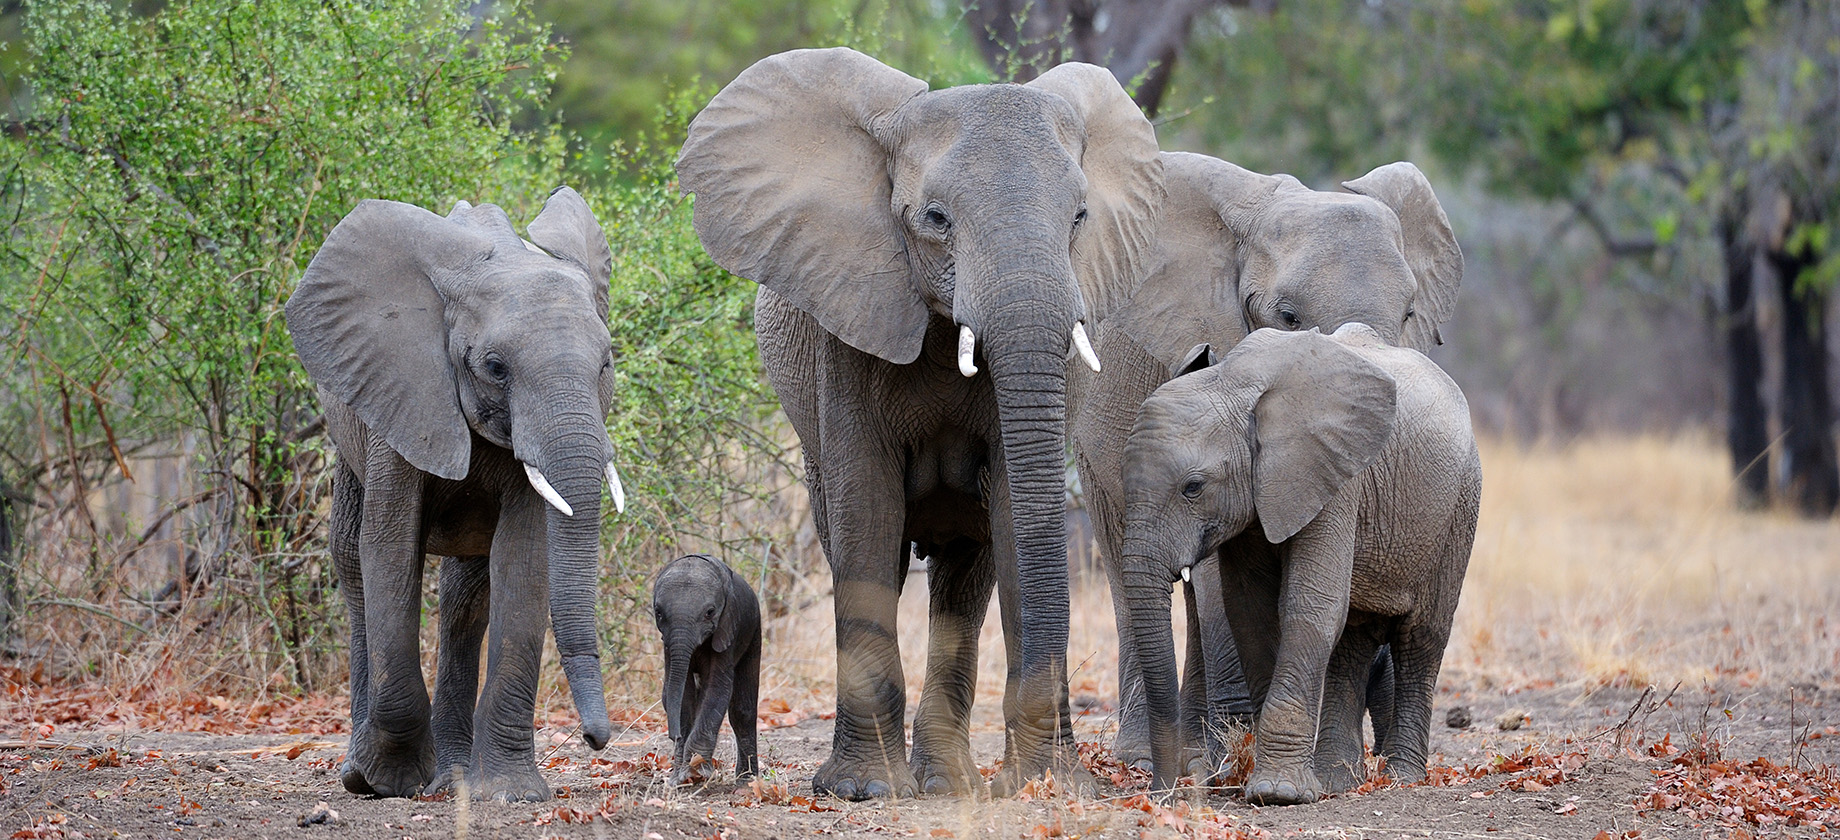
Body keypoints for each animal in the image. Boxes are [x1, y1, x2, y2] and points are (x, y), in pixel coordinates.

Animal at [285, 187, 627, 801]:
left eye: (605, 363)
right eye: (494, 367)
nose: (596, 740)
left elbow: (522, 561)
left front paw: (511, 793)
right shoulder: (399, 389)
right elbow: (390, 550)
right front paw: (388, 780)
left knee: (466, 597)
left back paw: (453, 779)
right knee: (350, 561)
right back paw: (361, 772)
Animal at [651, 553, 762, 786]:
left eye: (710, 613)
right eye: (658, 613)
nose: (673, 735)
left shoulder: (728, 628)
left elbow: (717, 689)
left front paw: (699, 773)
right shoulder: (668, 644)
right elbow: (682, 692)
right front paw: (680, 778)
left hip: (754, 629)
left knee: (742, 711)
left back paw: (747, 781)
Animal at [675, 48, 1163, 799]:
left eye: (1081, 217)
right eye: (935, 218)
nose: (1056, 775)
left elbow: (1016, 515)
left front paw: (1045, 786)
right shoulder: (847, 322)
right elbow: (868, 509)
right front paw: (862, 790)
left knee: (966, 571)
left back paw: (950, 782)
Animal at [1120, 325, 1481, 805]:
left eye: (1193, 488)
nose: (1164, 792)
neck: (1233, 385)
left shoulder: (1333, 476)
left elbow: (1310, 605)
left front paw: (1278, 793)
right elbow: (1249, 611)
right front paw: (1279, 784)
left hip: (1458, 506)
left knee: (1421, 638)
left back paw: (1401, 777)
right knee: (1354, 636)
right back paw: (1339, 781)